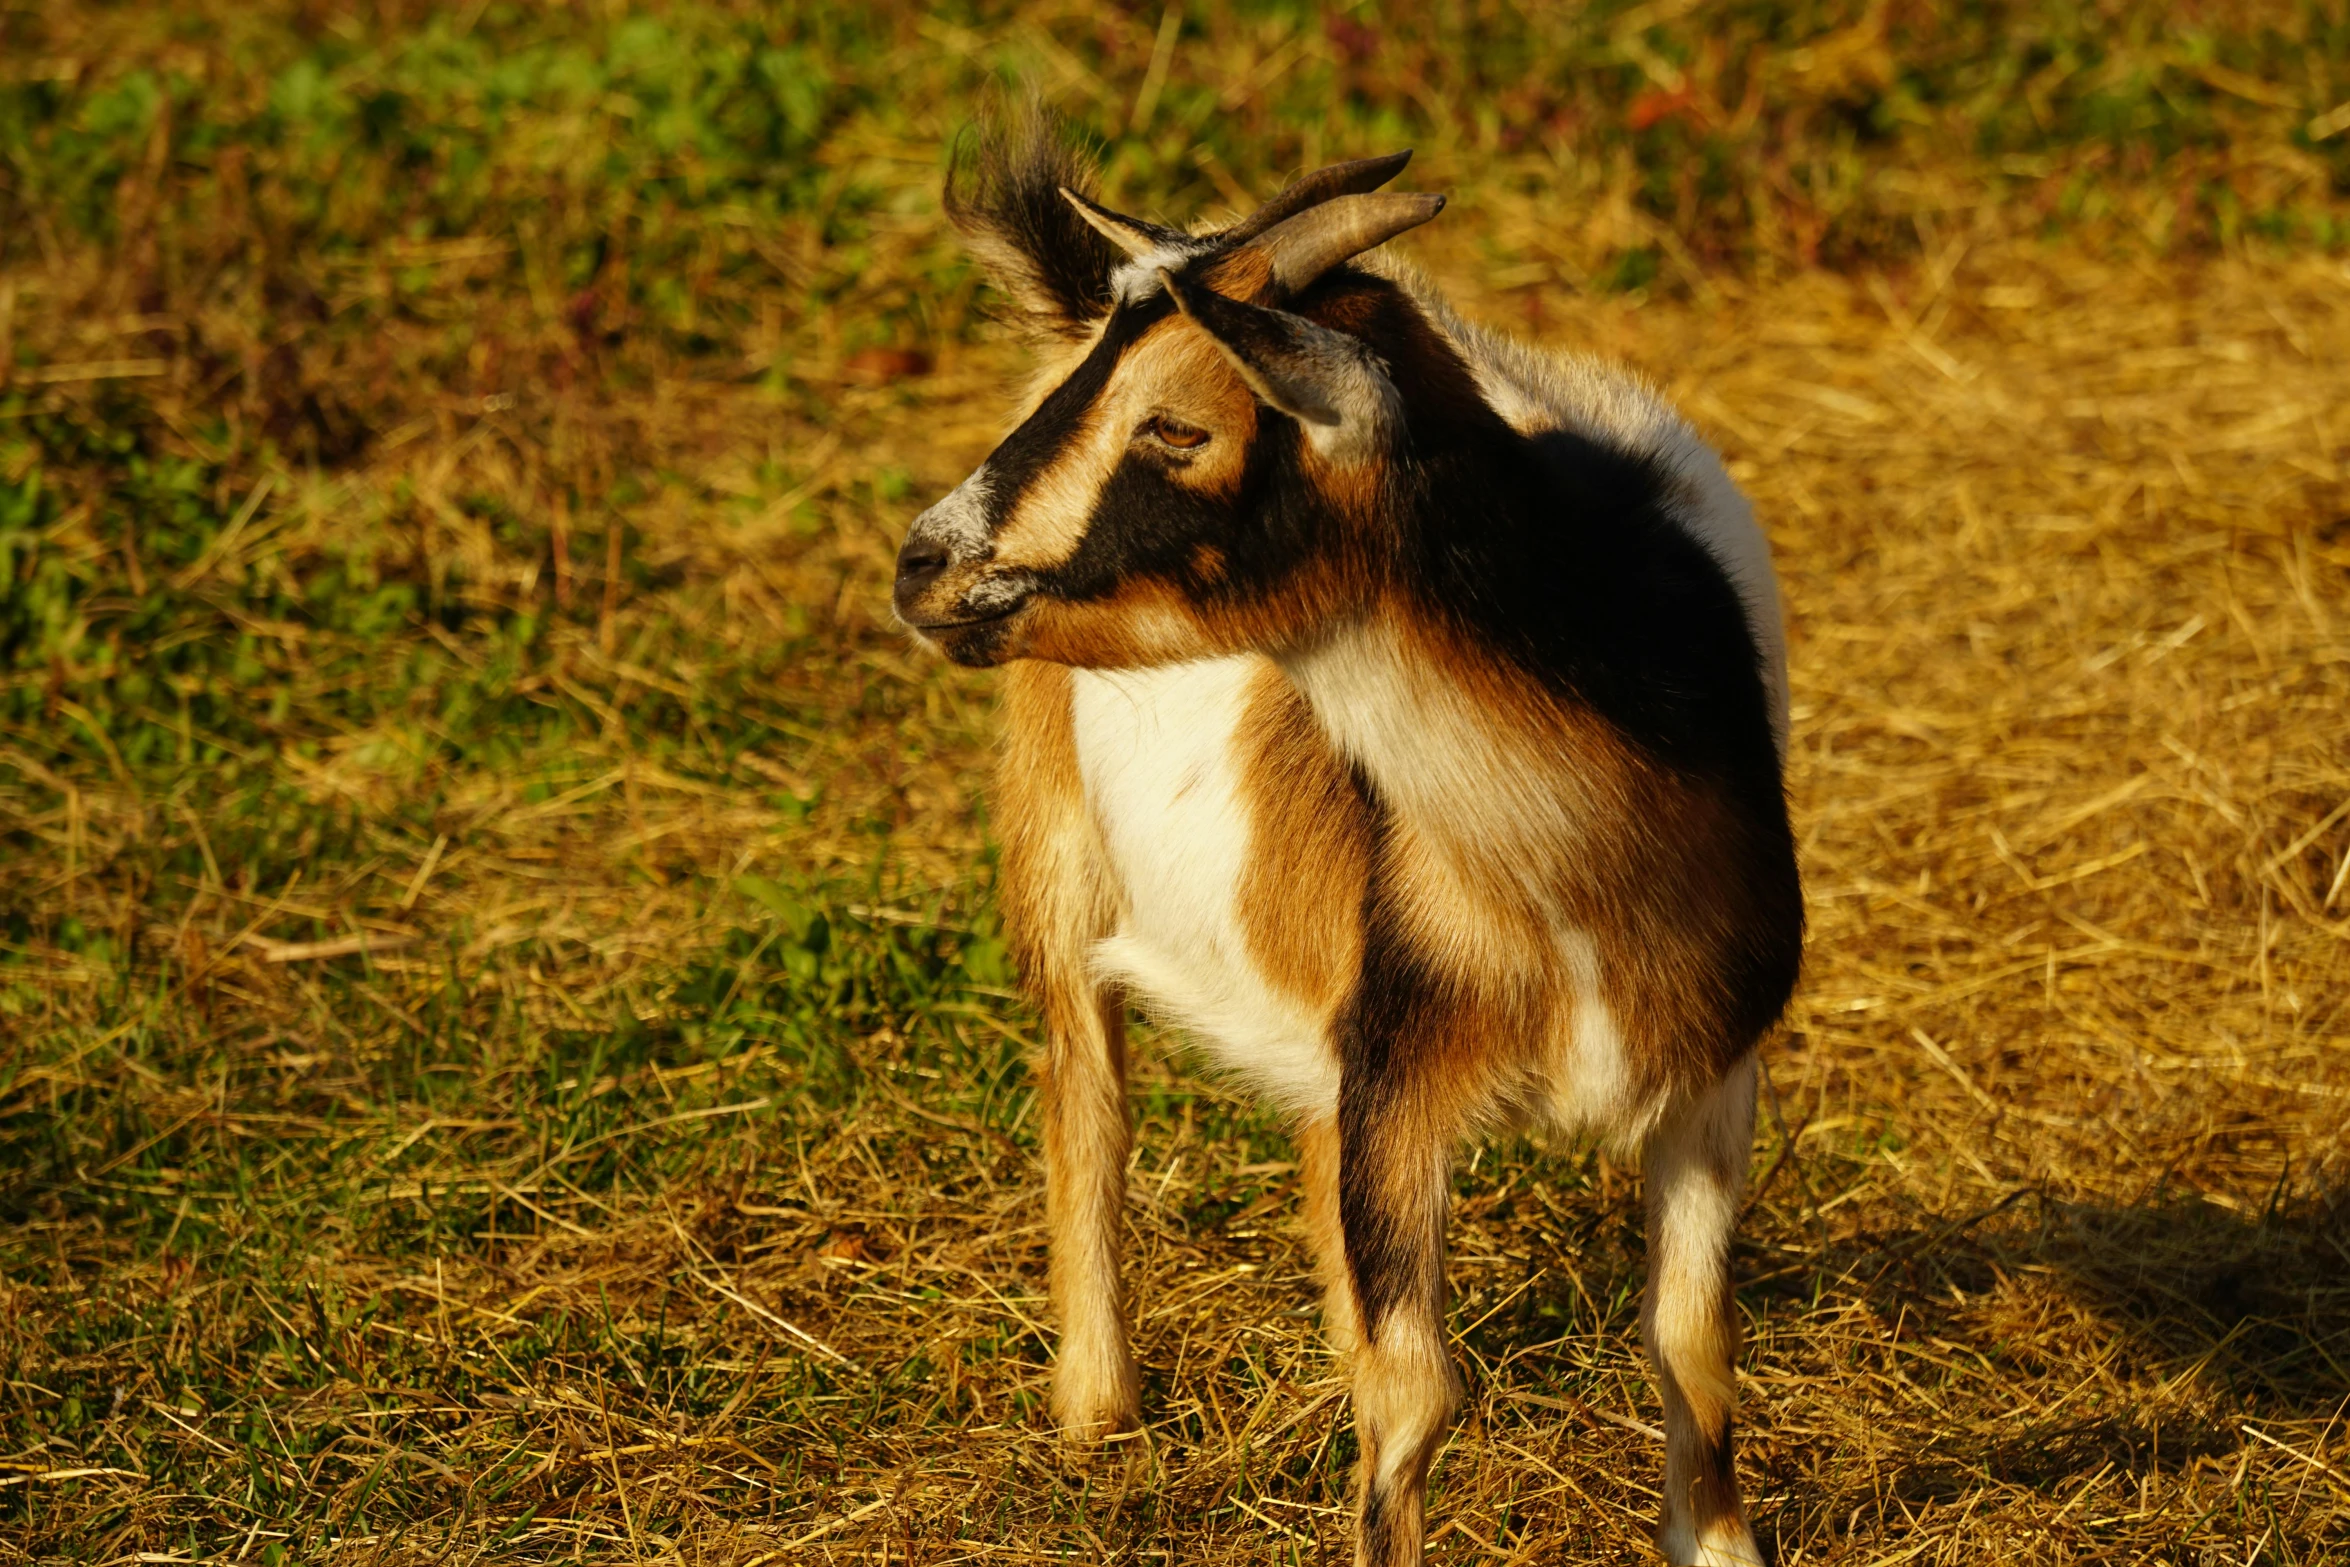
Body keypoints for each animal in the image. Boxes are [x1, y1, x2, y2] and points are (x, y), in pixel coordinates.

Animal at [892, 119, 1795, 1567]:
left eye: (1176, 424)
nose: (924, 563)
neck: (1570, 886)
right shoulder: (1401, 1080)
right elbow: (1417, 1396)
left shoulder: (1711, 1068)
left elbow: (1692, 1338)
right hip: (1054, 837)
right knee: (1083, 1086)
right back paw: (1096, 1411)